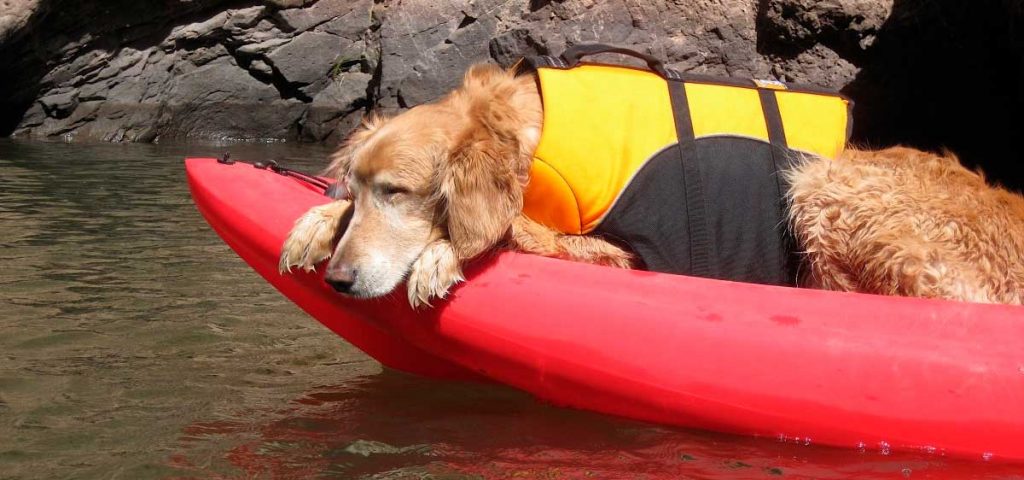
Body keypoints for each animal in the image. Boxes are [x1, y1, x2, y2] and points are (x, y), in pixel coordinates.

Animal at [276, 61, 1024, 307]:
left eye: (399, 192)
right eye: (363, 188)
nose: (341, 281)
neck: (535, 139)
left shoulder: (632, 252)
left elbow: (518, 227)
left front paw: (442, 251)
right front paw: (318, 222)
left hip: (824, 184)